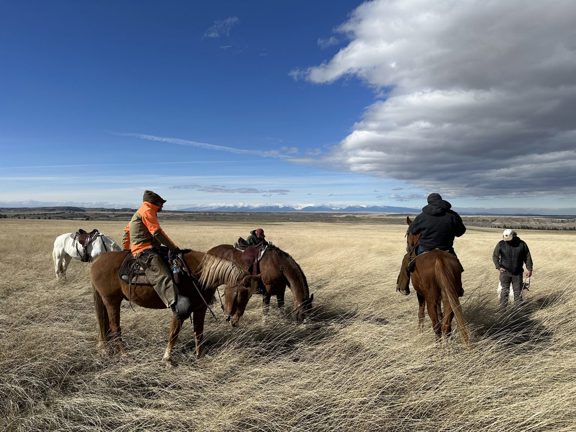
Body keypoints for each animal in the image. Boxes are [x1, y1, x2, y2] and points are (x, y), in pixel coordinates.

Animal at [89, 248, 258, 362]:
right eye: (242, 294)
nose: (235, 321)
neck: (199, 274)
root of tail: (96, 260)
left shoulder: (200, 308)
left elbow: (199, 332)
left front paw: (200, 355)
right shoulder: (180, 309)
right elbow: (174, 333)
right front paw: (167, 358)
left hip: (106, 301)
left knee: (103, 323)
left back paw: (105, 349)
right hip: (112, 301)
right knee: (114, 327)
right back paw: (124, 354)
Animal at [402, 218, 470, 346]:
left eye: (407, 233)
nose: (408, 249)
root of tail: (439, 259)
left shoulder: (420, 294)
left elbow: (421, 314)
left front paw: (420, 332)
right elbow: (441, 313)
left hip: (431, 298)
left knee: (436, 325)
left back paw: (438, 346)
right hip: (449, 296)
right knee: (446, 325)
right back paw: (447, 346)